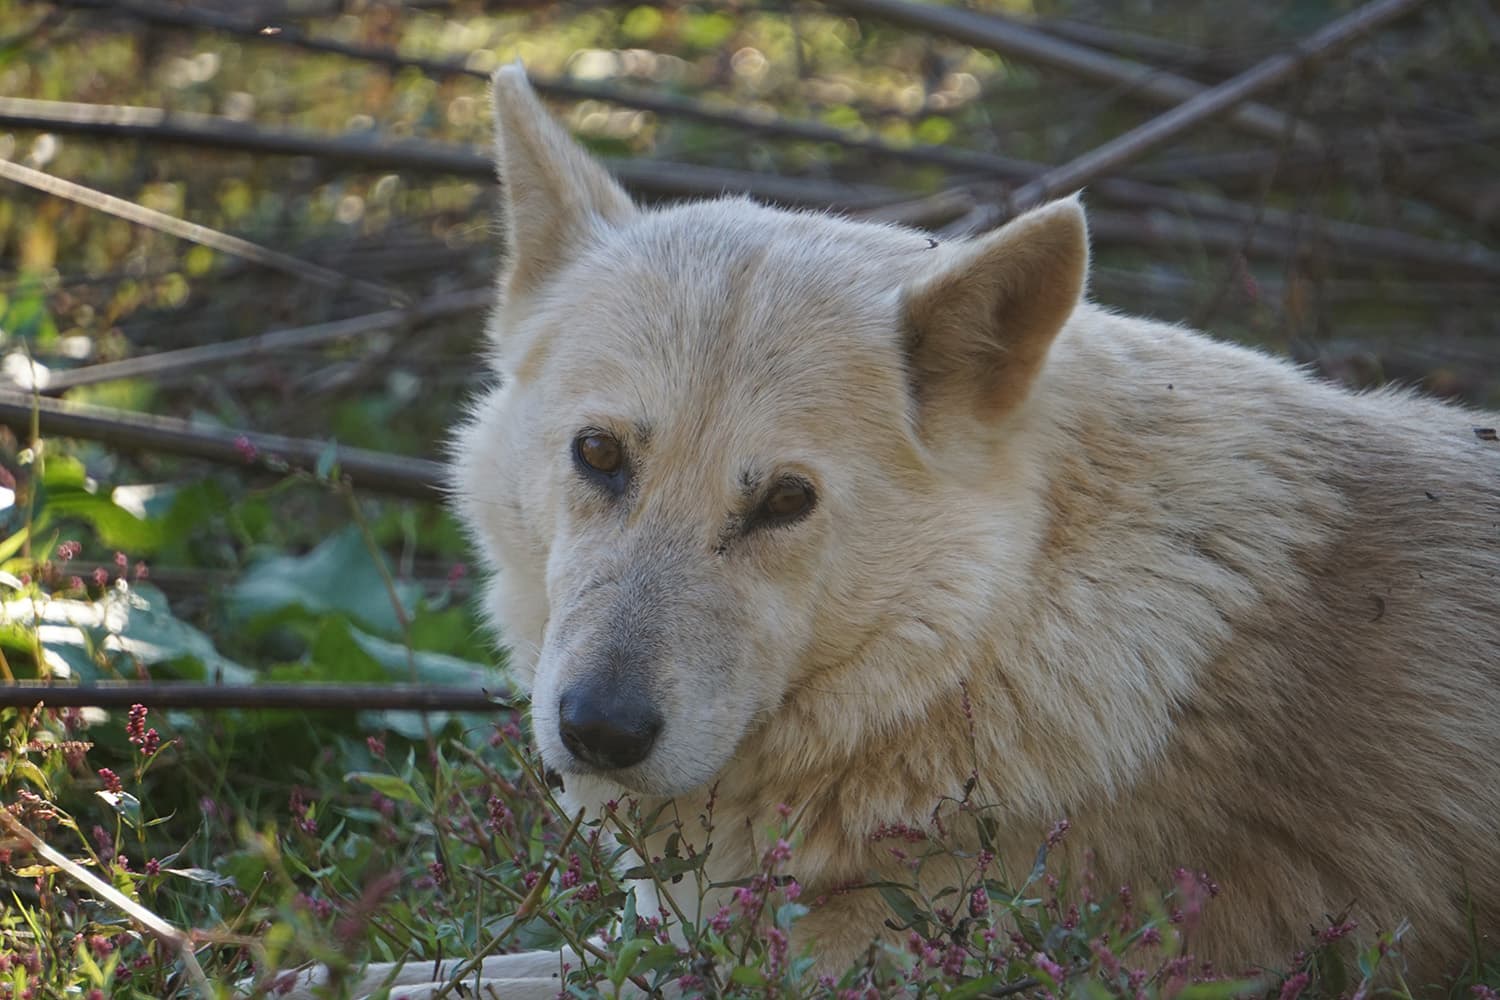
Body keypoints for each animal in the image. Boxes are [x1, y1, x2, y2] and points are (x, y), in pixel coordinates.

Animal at [282, 66, 1500, 998]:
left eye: (784, 501)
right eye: (599, 455)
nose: (598, 731)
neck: (995, 644)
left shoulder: (811, 966)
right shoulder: (664, 940)